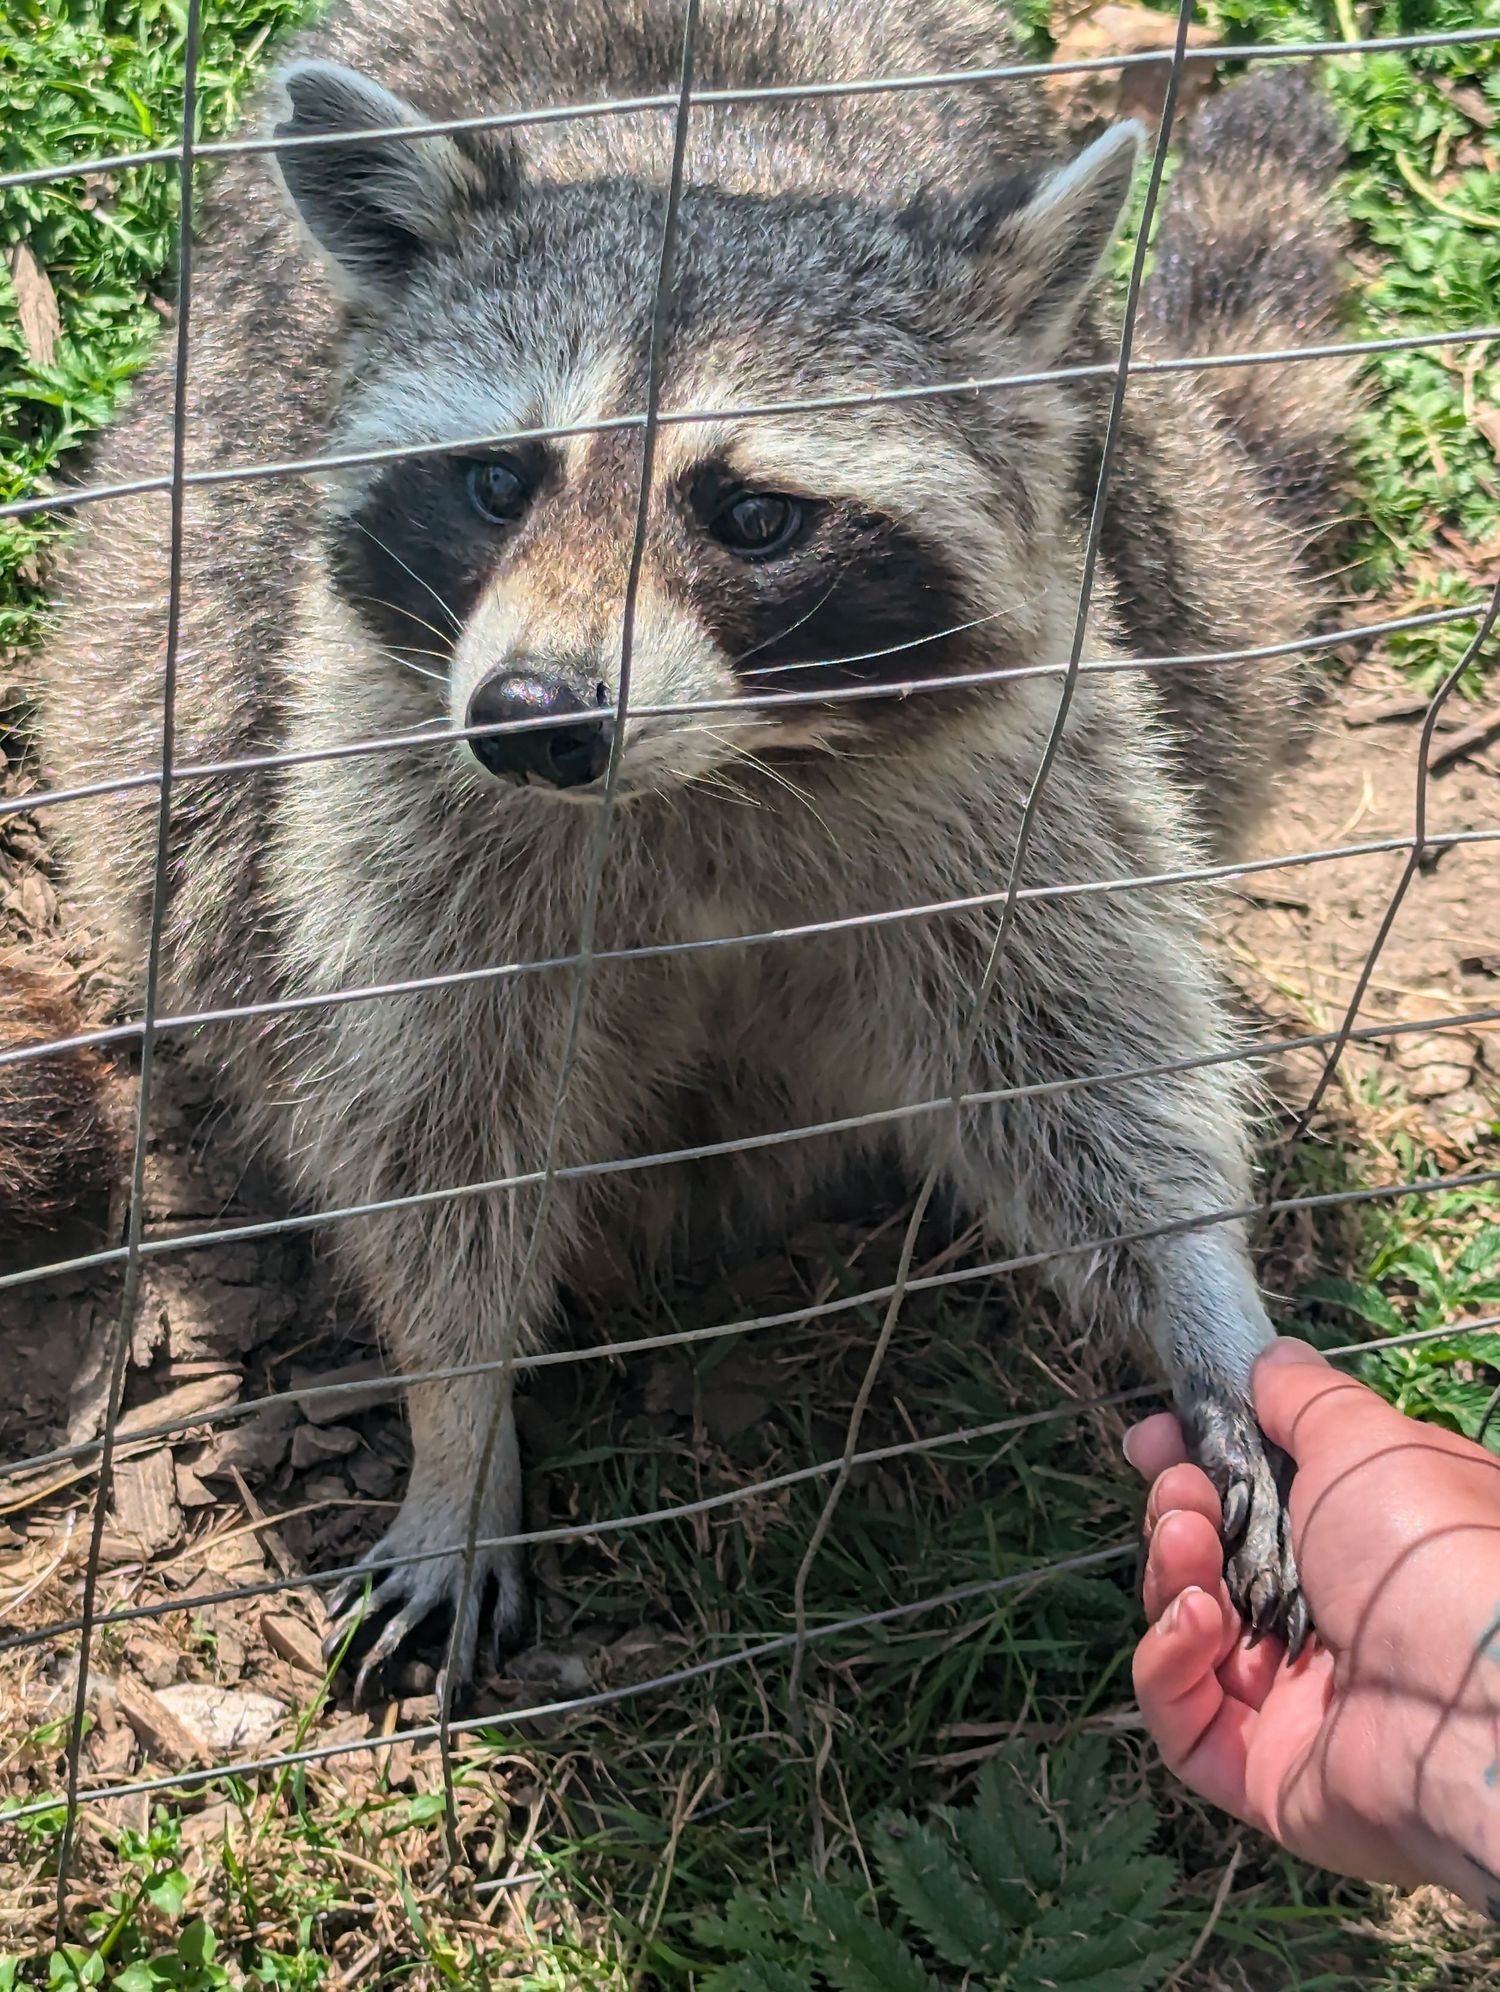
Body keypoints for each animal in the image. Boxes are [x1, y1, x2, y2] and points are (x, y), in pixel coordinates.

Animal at [15, 0, 1354, 1692]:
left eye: (752, 515)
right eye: (497, 482)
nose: (532, 715)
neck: (697, 778)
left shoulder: (1023, 745)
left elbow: (1084, 1054)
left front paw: (1207, 1307)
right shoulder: (381, 777)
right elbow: (432, 1130)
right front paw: (460, 1418)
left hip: (1163, 522)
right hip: (161, 597)